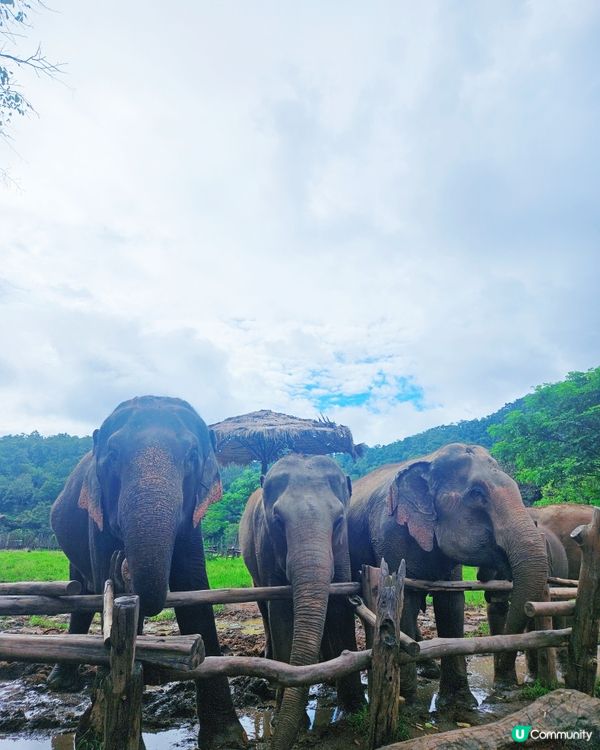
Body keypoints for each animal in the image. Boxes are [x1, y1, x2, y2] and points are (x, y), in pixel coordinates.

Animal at [49, 396, 245, 750]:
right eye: (113, 455)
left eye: (192, 456)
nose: (123, 560)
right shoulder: (97, 519)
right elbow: (105, 586)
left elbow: (194, 589)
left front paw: (227, 740)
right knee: (82, 590)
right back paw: (61, 682)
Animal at [239, 454, 365, 750]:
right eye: (277, 520)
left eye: (339, 520)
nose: (276, 741)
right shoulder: (266, 549)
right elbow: (280, 613)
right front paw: (284, 720)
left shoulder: (343, 548)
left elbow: (340, 608)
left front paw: (355, 708)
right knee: (264, 611)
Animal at [347, 443, 548, 706]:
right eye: (477, 494)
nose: (504, 689)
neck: (429, 461)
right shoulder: (390, 535)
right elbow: (405, 600)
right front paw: (409, 702)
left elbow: (451, 602)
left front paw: (459, 702)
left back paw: (430, 669)